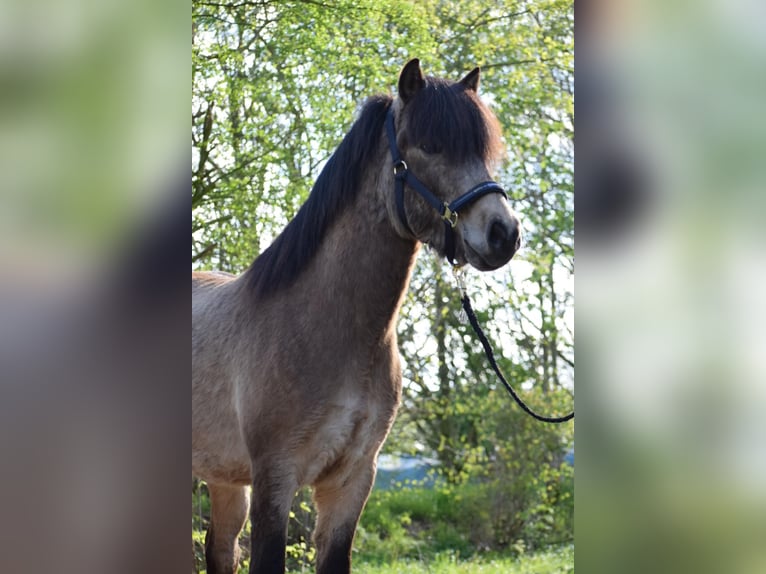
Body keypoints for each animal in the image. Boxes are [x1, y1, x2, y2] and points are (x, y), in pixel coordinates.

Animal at [192, 59, 520, 574]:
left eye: (484, 150)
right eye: (429, 146)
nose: (502, 233)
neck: (326, 330)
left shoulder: (351, 482)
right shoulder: (275, 480)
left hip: (225, 481)